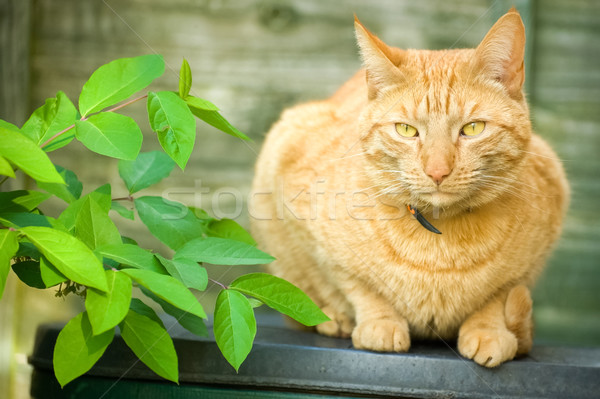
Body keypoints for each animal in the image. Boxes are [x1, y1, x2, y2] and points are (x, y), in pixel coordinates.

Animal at [248, 9, 568, 368]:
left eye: (473, 128)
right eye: (406, 130)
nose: (437, 171)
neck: (438, 247)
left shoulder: (533, 249)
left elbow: (500, 294)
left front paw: (489, 330)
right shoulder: (307, 224)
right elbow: (354, 284)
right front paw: (379, 322)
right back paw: (333, 319)